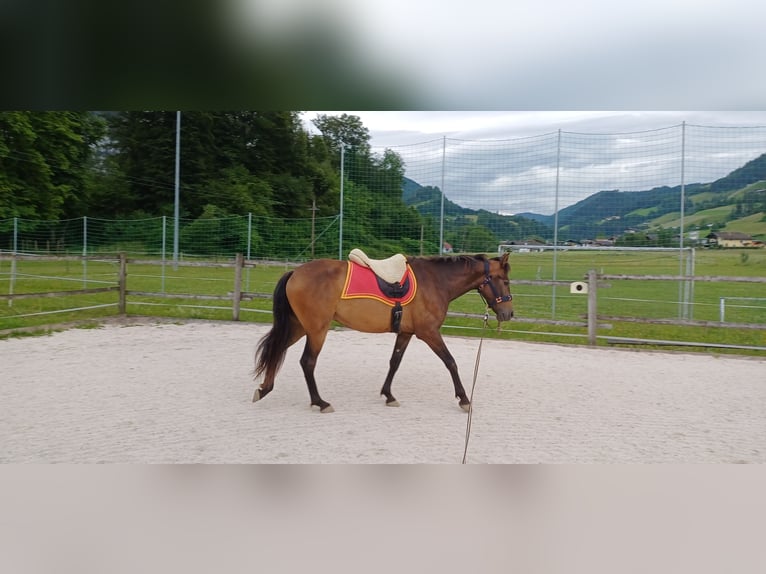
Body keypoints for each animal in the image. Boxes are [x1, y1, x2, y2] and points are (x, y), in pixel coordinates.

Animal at [254, 254, 516, 412]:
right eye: (504, 280)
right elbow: (450, 362)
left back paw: (264, 389)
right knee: (307, 362)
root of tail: (295, 273)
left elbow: (394, 362)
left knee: (277, 349)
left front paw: (388, 395)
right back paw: (320, 402)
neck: (435, 281)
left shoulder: (406, 333)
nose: (509, 313)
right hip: (317, 329)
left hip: (300, 327)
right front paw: (464, 399)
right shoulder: (429, 332)